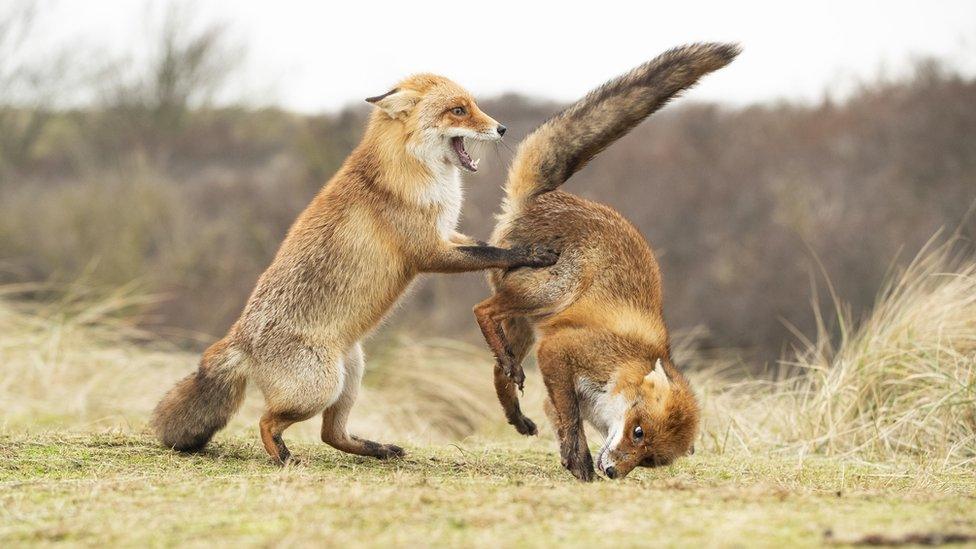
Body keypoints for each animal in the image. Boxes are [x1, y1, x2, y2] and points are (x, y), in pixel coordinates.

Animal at [149, 73, 552, 464]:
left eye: (473, 105)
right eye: (458, 110)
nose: (502, 128)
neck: (415, 174)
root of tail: (239, 340)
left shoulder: (446, 235)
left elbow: (485, 246)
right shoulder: (429, 252)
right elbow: (494, 254)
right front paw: (532, 253)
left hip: (351, 373)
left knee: (331, 434)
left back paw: (379, 450)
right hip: (319, 388)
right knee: (266, 422)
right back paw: (284, 458)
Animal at [472, 42, 740, 480]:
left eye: (649, 460)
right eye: (637, 432)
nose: (614, 473)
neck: (625, 365)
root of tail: (544, 197)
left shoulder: (556, 378)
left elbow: (560, 417)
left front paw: (573, 460)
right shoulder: (559, 350)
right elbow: (570, 418)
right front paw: (581, 463)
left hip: (526, 326)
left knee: (499, 368)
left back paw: (516, 413)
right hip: (549, 293)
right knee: (482, 310)